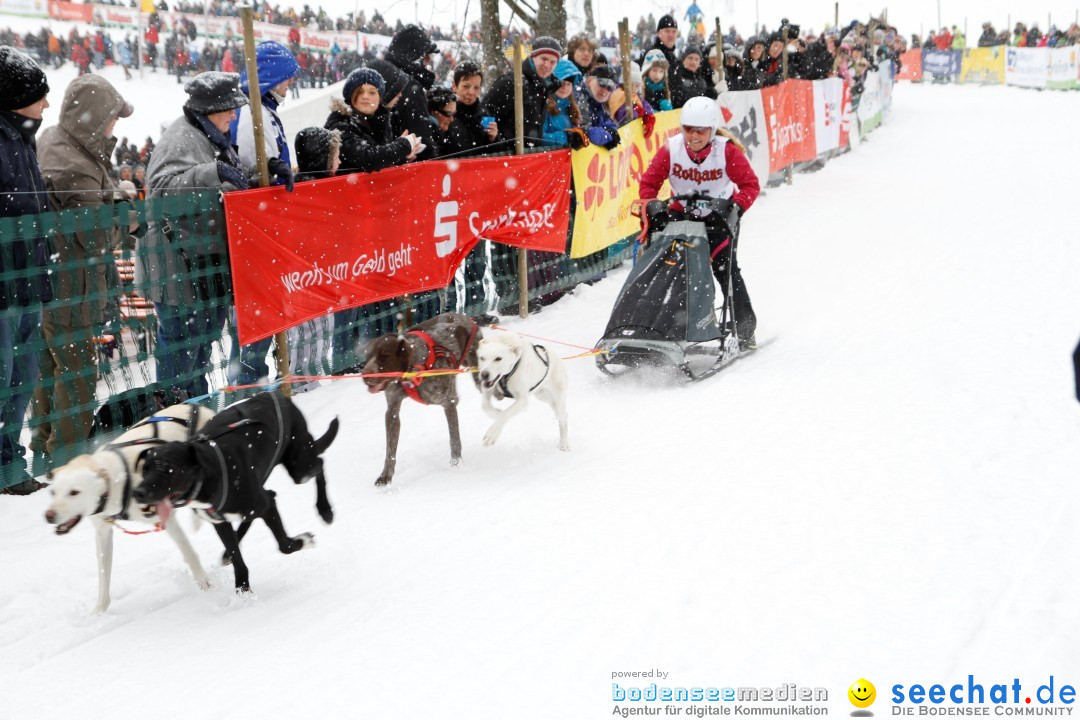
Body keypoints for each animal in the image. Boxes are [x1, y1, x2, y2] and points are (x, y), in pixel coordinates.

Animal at [43, 403, 214, 613]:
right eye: (53, 492)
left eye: (74, 492)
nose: (49, 515)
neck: (118, 480)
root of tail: (197, 406)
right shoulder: (103, 533)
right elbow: (103, 575)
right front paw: (99, 611)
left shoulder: (165, 518)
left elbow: (188, 552)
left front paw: (204, 582)